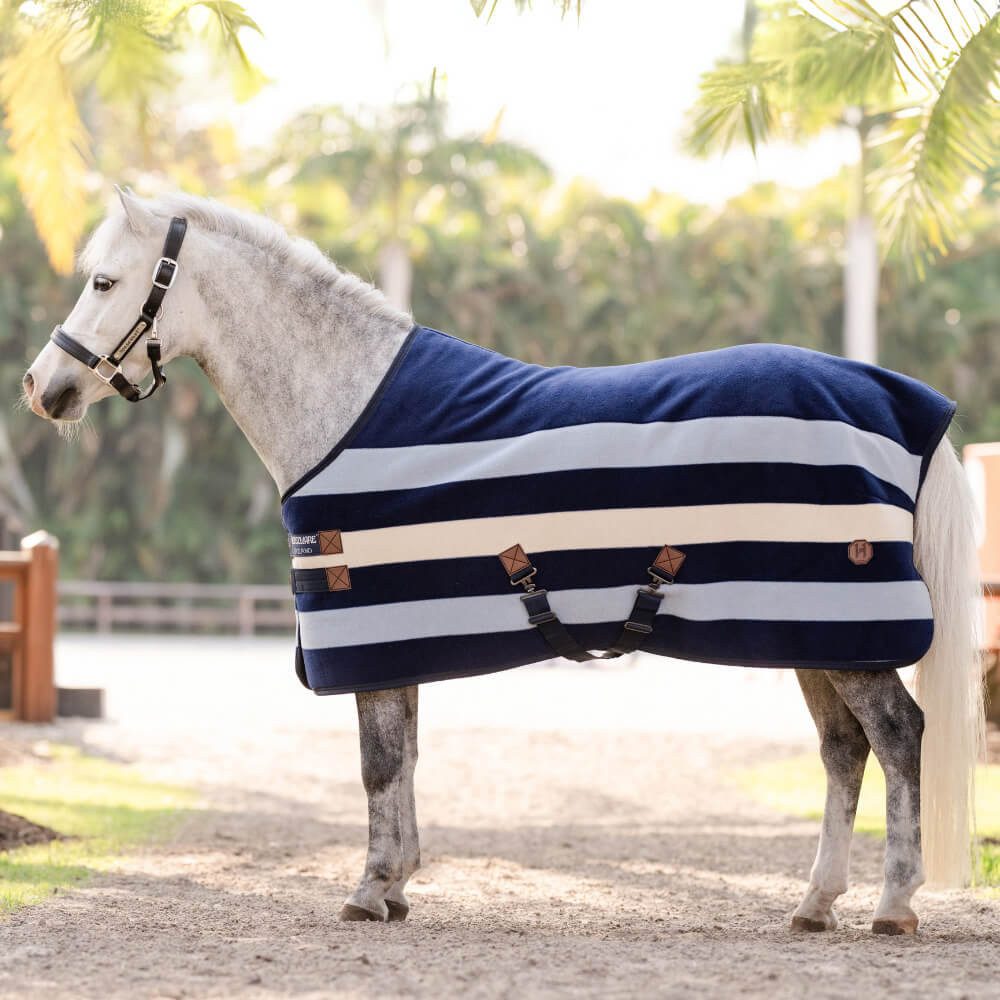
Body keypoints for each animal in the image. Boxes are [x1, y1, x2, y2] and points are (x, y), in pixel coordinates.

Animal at [22, 190, 984, 934]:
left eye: (105, 281)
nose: (42, 388)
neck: (347, 404)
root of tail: (903, 403)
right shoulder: (394, 641)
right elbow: (405, 758)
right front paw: (398, 885)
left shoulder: (367, 632)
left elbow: (378, 765)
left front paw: (370, 891)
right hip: (813, 633)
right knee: (842, 750)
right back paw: (815, 903)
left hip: (846, 635)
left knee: (897, 737)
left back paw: (893, 905)